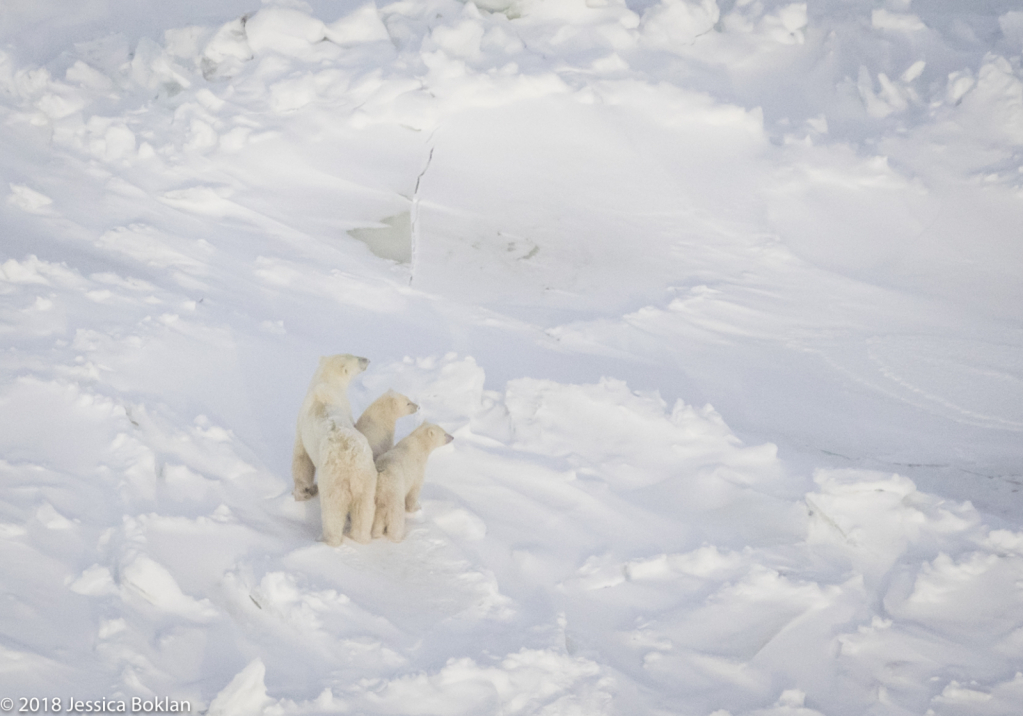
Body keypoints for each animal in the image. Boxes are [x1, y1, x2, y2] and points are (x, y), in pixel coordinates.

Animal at [292, 355, 376, 544]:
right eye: (357, 359)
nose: (367, 360)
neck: (325, 384)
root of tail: (350, 458)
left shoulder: (302, 425)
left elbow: (301, 458)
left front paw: (303, 491)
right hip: (365, 477)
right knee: (363, 507)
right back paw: (360, 536)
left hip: (334, 478)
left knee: (333, 509)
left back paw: (328, 538)